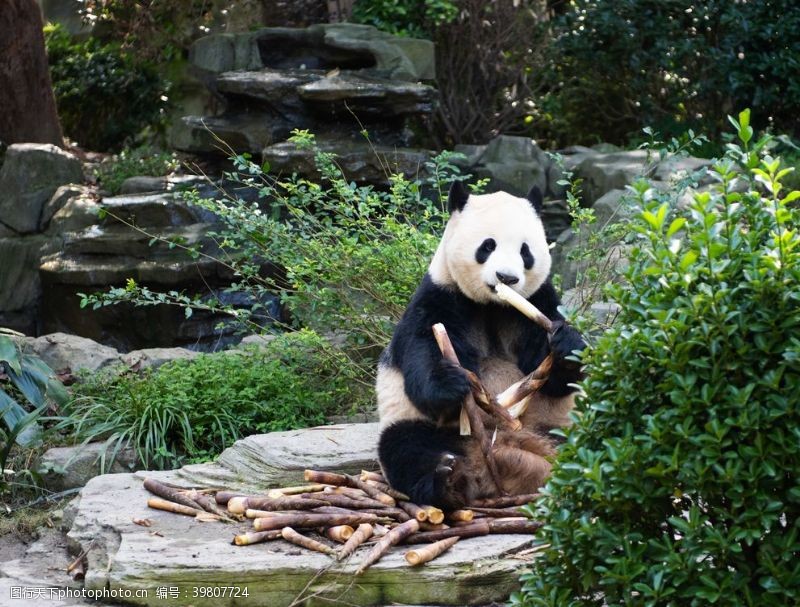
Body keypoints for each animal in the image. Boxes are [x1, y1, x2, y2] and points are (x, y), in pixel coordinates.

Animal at [376, 180, 588, 508]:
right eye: (488, 246)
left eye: (525, 251)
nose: (507, 277)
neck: (494, 305)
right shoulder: (439, 298)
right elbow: (424, 352)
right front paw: (452, 383)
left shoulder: (538, 301)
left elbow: (554, 377)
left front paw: (566, 343)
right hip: (424, 428)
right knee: (406, 448)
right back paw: (447, 480)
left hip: (558, 424)